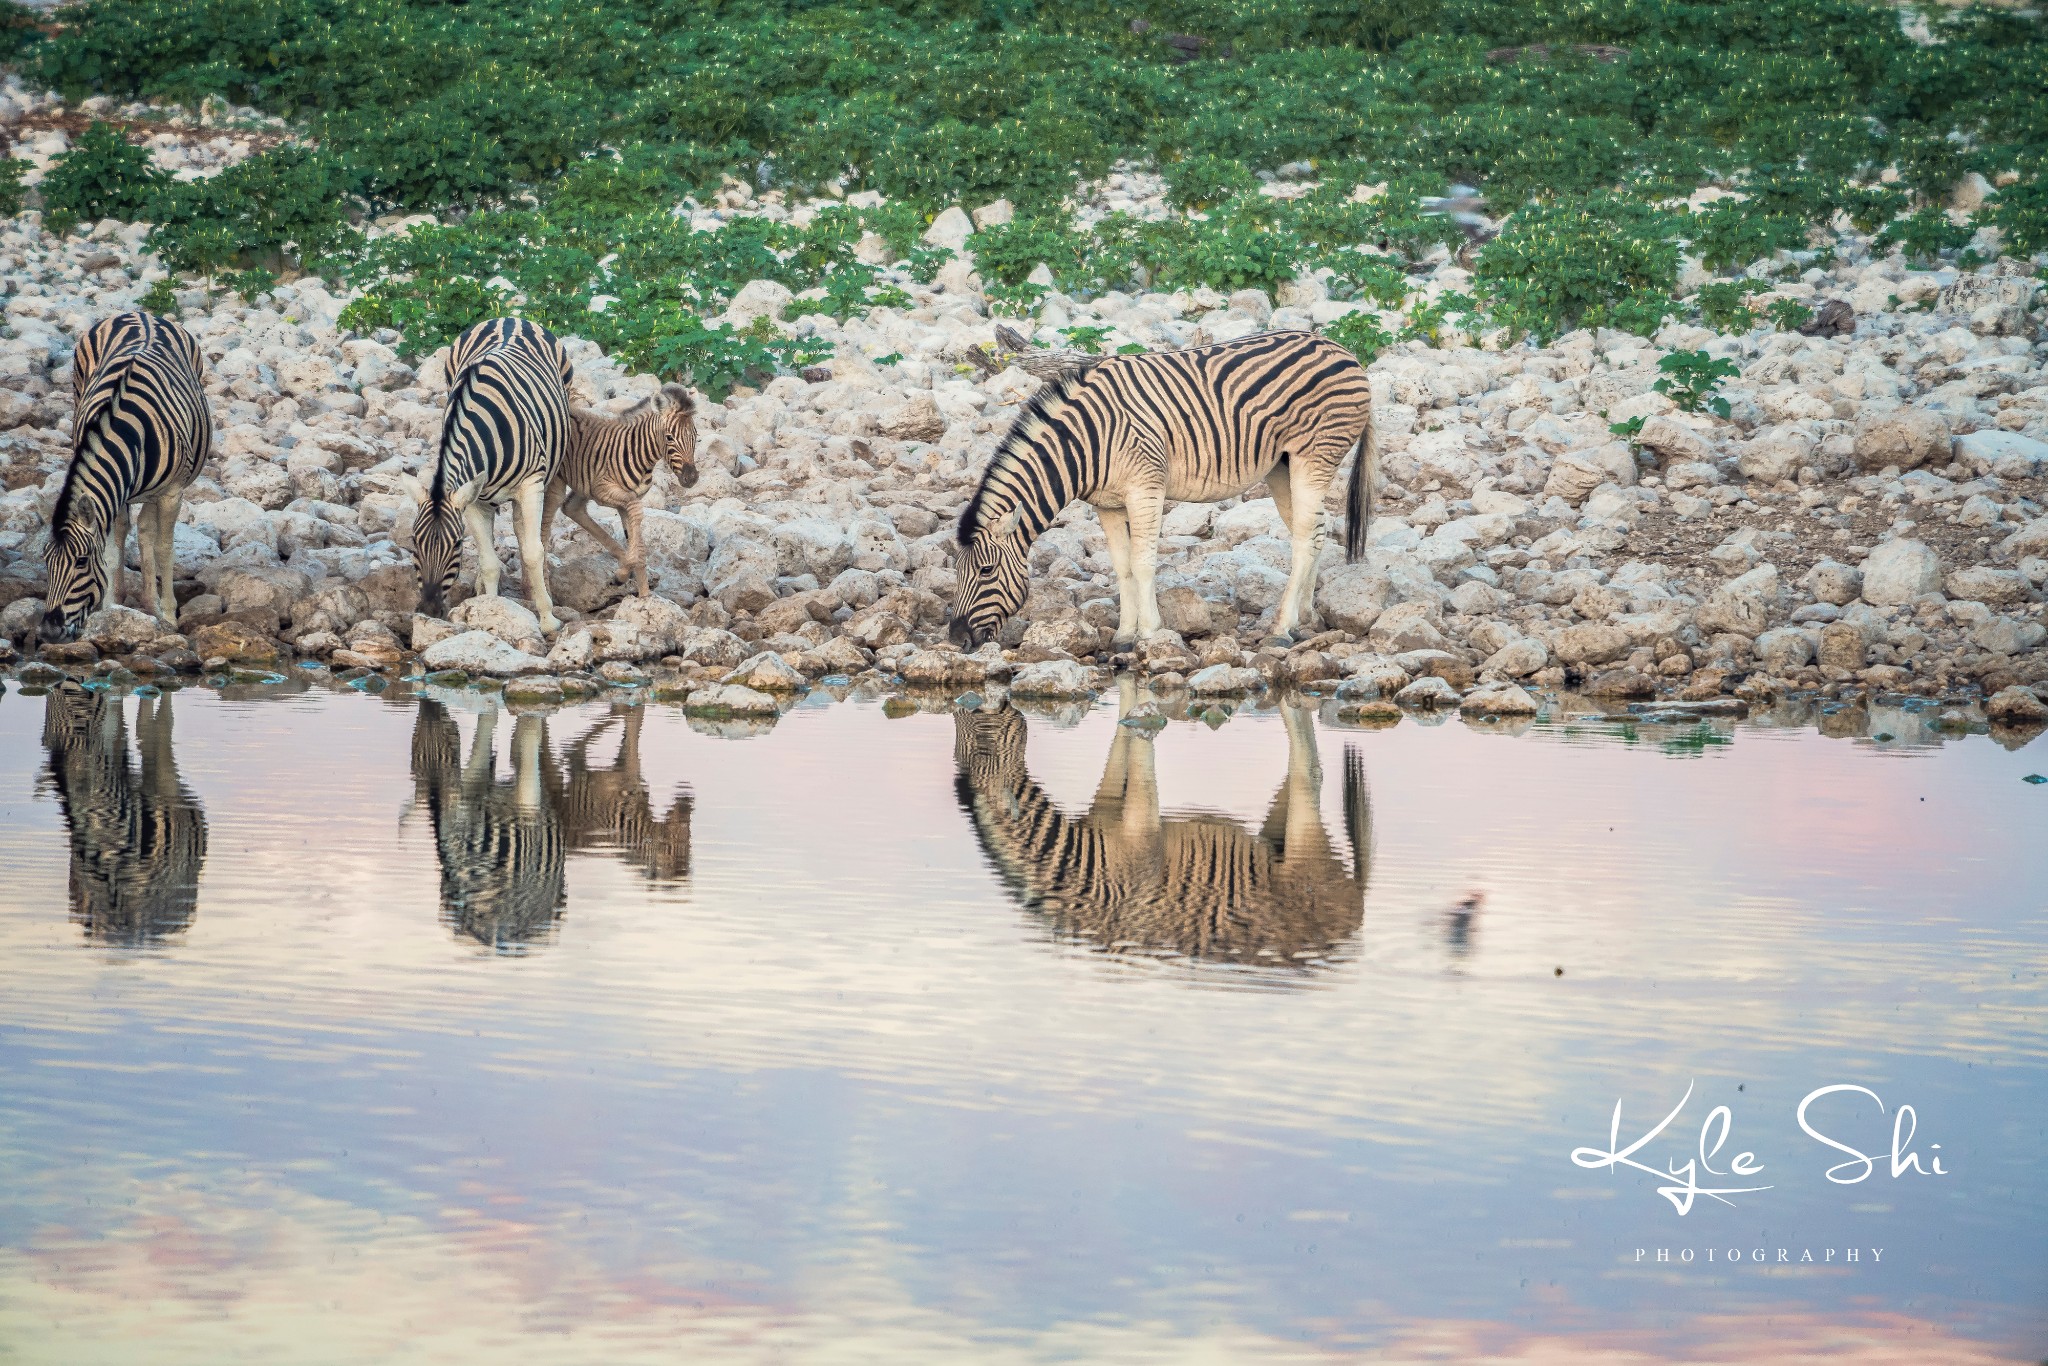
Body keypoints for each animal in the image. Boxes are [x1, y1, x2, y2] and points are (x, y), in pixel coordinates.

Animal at [38, 309, 210, 643]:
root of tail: (141, 313)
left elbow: (164, 547)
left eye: (80, 562)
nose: (49, 631)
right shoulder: (114, 492)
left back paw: (153, 603)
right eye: (46, 560)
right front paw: (109, 611)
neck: (129, 433)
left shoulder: (172, 493)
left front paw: (168, 614)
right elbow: (113, 551)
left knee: (147, 532)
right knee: (136, 529)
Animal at [401, 317, 577, 634]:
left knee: (532, 530)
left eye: (457, 545)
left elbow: (533, 552)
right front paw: (492, 611)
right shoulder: (473, 499)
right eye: (413, 542)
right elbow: (489, 562)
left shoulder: (531, 484)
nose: (429, 610)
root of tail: (509, 318)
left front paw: (548, 619)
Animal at [540, 385, 700, 598]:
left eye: (695, 437)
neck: (638, 453)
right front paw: (623, 575)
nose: (692, 478)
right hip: (558, 481)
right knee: (544, 529)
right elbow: (637, 516)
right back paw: (543, 587)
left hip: (583, 484)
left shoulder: (626, 500)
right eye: (669, 438)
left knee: (571, 507)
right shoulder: (605, 492)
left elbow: (638, 543)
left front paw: (644, 595)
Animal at [946, 329, 1376, 651]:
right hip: (1281, 466)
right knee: (1316, 532)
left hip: (1313, 457)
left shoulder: (1145, 488)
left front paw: (1150, 632)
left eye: (986, 570)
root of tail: (1343, 349)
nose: (956, 640)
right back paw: (1305, 619)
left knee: (1305, 536)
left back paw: (1282, 629)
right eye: (958, 570)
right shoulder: (1108, 504)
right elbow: (1122, 566)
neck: (1087, 443)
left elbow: (1143, 562)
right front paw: (1123, 635)